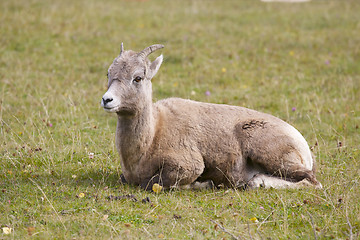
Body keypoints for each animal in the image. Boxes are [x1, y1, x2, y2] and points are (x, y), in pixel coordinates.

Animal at [100, 42, 320, 189]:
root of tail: (302, 144)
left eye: (137, 78)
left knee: (311, 181)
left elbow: (153, 183)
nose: (107, 100)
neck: (152, 135)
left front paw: (203, 184)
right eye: (109, 73)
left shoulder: (189, 166)